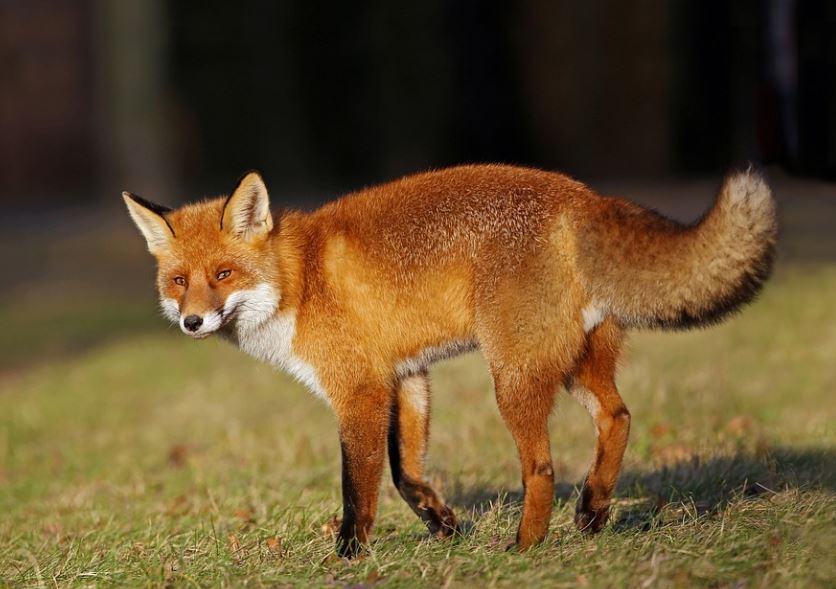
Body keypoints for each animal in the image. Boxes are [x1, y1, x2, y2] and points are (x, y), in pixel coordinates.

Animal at [123, 164, 776, 556]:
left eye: (223, 275)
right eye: (179, 282)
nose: (192, 322)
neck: (300, 281)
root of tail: (582, 196)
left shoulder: (359, 389)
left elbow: (358, 487)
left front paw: (349, 557)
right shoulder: (406, 376)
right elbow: (407, 474)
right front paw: (446, 527)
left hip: (512, 377)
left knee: (542, 469)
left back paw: (525, 548)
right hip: (573, 365)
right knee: (618, 418)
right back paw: (591, 513)